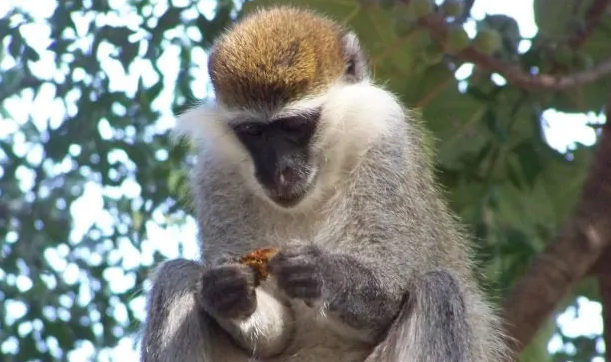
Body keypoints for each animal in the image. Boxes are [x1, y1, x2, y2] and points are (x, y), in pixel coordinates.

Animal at [141, 5, 510, 362]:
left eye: (293, 126)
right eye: (253, 132)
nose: (278, 171)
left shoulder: (386, 140)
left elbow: (390, 296)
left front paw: (322, 273)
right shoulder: (215, 174)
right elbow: (274, 333)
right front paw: (224, 292)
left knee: (438, 290)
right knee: (176, 276)